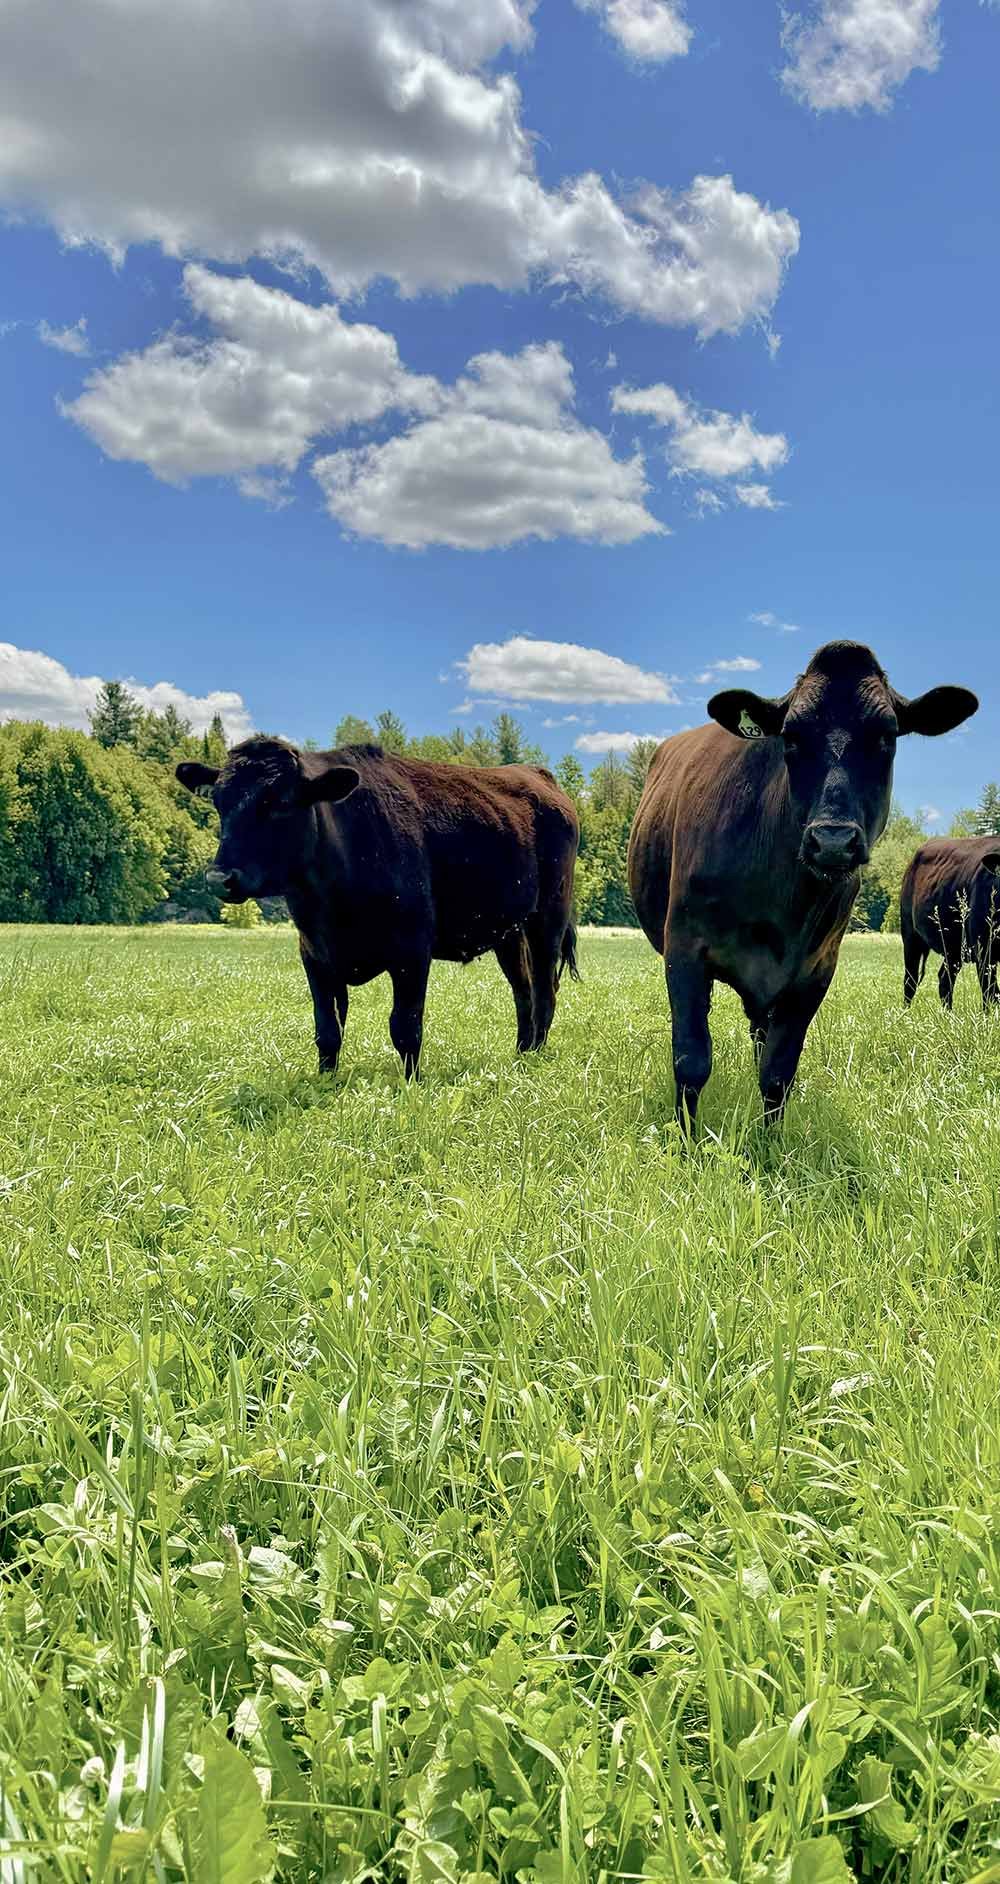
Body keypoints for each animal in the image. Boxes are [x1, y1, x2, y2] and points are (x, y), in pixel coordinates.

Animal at [176, 737, 579, 1078]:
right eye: (218, 802)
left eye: (281, 803)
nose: (219, 877)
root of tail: (540, 777)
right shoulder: (314, 954)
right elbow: (327, 1028)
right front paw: (326, 1081)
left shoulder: (413, 949)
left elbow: (405, 1025)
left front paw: (411, 1083)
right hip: (508, 931)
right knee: (523, 991)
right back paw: (521, 1053)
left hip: (549, 919)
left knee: (544, 990)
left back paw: (535, 1056)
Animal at [628, 641, 977, 1128]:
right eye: (790, 737)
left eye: (887, 736)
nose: (832, 840)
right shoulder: (684, 949)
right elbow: (691, 1060)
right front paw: (687, 1139)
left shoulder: (816, 968)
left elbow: (778, 1071)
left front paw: (771, 1140)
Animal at [901, 837, 1000, 1011]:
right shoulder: (984, 950)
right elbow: (991, 992)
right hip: (910, 937)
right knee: (910, 980)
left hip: (953, 949)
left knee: (945, 979)